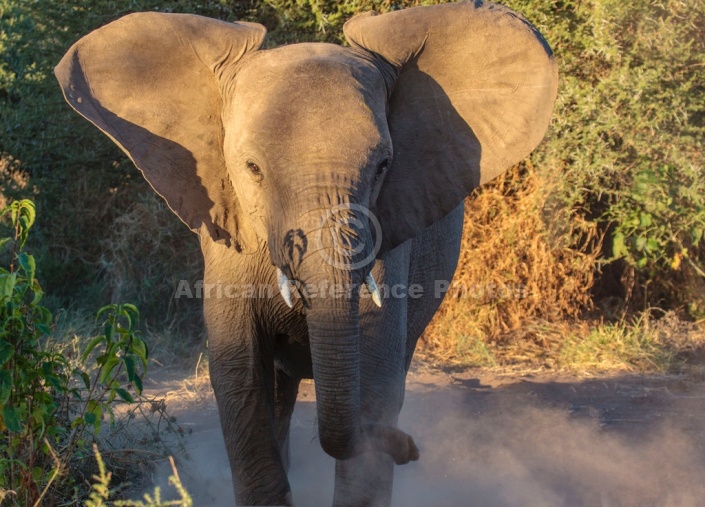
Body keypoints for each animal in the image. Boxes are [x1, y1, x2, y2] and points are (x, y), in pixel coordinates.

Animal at [56, 1, 556, 506]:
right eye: (251, 168)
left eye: (383, 166)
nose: (412, 449)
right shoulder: (227, 241)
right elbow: (239, 374)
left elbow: (376, 373)